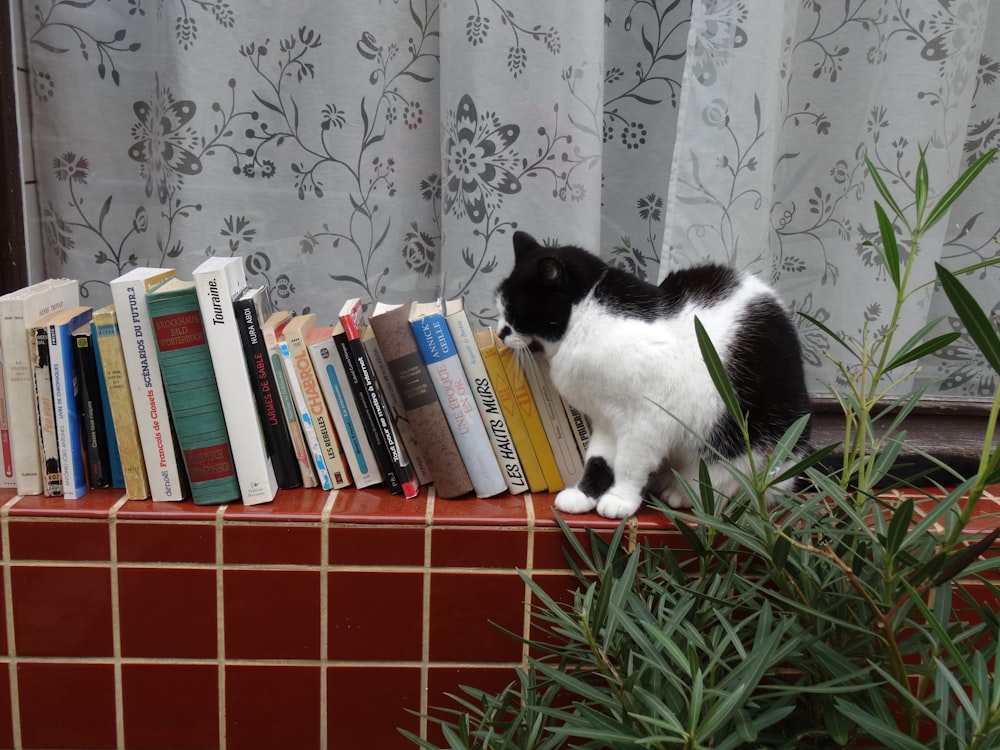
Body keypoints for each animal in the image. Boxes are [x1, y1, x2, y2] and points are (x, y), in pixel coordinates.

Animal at [492, 232, 812, 520]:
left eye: (518, 312)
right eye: (500, 308)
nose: (500, 332)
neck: (587, 319)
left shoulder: (646, 421)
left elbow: (629, 463)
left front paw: (620, 499)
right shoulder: (605, 417)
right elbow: (598, 459)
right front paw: (584, 495)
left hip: (749, 442)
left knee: (731, 480)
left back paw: (686, 494)